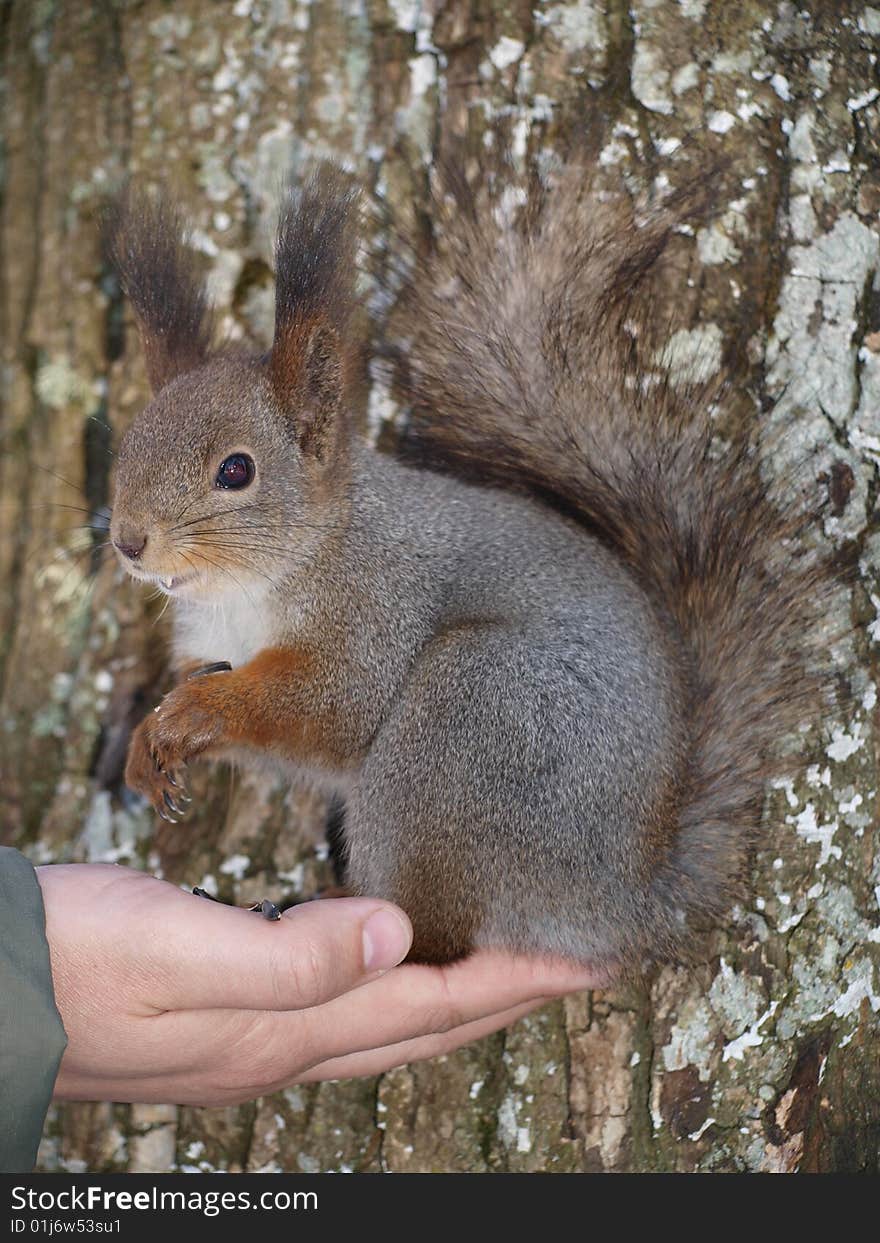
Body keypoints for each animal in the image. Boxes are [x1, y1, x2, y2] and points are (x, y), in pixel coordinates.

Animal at [106, 165, 835, 974]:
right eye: (128, 443)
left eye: (236, 470)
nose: (128, 541)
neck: (254, 585)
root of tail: (622, 896)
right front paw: (145, 745)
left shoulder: (377, 606)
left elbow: (333, 709)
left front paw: (197, 713)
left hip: (471, 714)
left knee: (433, 937)